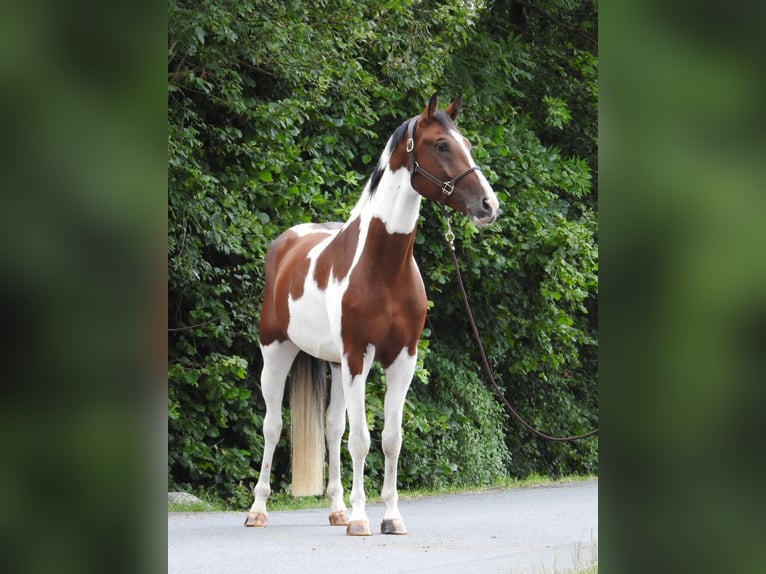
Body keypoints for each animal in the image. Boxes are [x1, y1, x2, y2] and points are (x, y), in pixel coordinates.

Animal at [245, 94, 499, 536]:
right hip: (277, 352)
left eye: (466, 142)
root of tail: (285, 242)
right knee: (273, 426)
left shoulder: (402, 359)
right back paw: (258, 510)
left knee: (331, 428)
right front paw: (363, 519)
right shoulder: (358, 356)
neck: (384, 266)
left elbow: (390, 438)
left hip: (332, 363)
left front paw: (391, 517)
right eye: (441, 145)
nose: (489, 205)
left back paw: (336, 509)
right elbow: (361, 439)